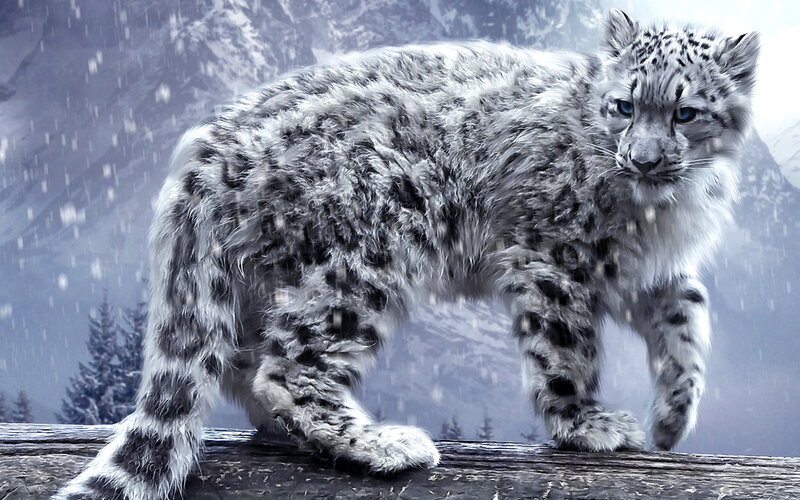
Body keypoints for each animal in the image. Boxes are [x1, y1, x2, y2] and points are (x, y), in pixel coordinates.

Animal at [56, 9, 759, 499]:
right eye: (623, 106)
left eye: (686, 112)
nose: (642, 158)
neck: (662, 211)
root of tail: (211, 146)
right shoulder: (554, 258)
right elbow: (567, 349)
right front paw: (586, 425)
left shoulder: (649, 270)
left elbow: (687, 317)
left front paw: (672, 419)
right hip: (363, 257)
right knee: (285, 365)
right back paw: (383, 444)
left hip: (264, 275)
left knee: (240, 360)